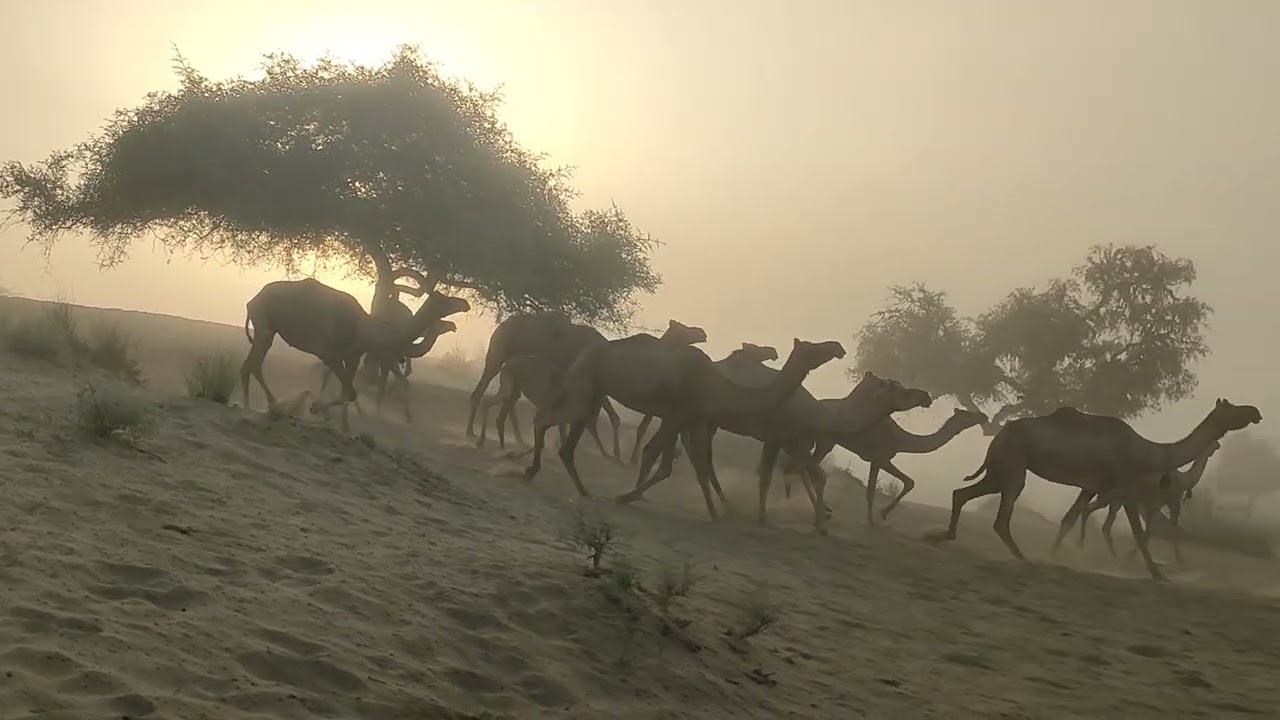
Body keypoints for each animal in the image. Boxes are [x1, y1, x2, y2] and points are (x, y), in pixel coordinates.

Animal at [240, 278, 470, 433]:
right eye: (443, 300)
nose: (464, 304)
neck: (364, 330)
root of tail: (253, 299)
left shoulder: (352, 355)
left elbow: (348, 391)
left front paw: (343, 426)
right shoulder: (331, 354)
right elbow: (350, 391)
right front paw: (318, 409)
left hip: (269, 329)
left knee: (251, 364)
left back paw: (263, 406)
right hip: (263, 323)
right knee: (253, 364)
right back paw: (261, 407)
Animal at [466, 313, 707, 459]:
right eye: (683, 329)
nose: (702, 333)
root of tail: (502, 325)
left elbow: (602, 417)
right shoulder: (590, 382)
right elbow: (606, 418)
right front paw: (614, 455)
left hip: (513, 365)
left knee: (509, 400)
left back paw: (514, 439)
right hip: (497, 354)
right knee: (483, 390)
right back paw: (473, 433)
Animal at [523, 335, 847, 519]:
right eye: (812, 348)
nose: (838, 348)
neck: (717, 385)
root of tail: (584, 351)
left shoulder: (692, 419)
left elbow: (694, 465)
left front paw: (716, 511)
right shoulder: (679, 415)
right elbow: (668, 461)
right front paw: (627, 495)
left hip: (592, 392)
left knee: (567, 442)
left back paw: (583, 490)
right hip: (584, 384)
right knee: (544, 420)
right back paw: (530, 471)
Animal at [784, 408, 988, 525]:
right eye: (968, 415)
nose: (983, 415)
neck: (902, 439)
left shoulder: (876, 460)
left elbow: (899, 484)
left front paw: (878, 515)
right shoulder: (881, 458)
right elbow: (883, 489)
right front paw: (876, 518)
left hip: (819, 441)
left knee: (801, 467)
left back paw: (822, 508)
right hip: (826, 440)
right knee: (804, 468)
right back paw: (819, 510)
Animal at [1063, 439, 1221, 564]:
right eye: (1213, 442)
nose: (1218, 445)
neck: (1184, 480)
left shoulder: (1152, 505)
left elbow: (1148, 533)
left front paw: (1132, 555)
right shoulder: (1173, 502)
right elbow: (1169, 531)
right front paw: (1179, 559)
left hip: (1110, 497)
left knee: (1092, 513)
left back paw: (1085, 546)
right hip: (1113, 497)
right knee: (1101, 520)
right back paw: (1109, 553)